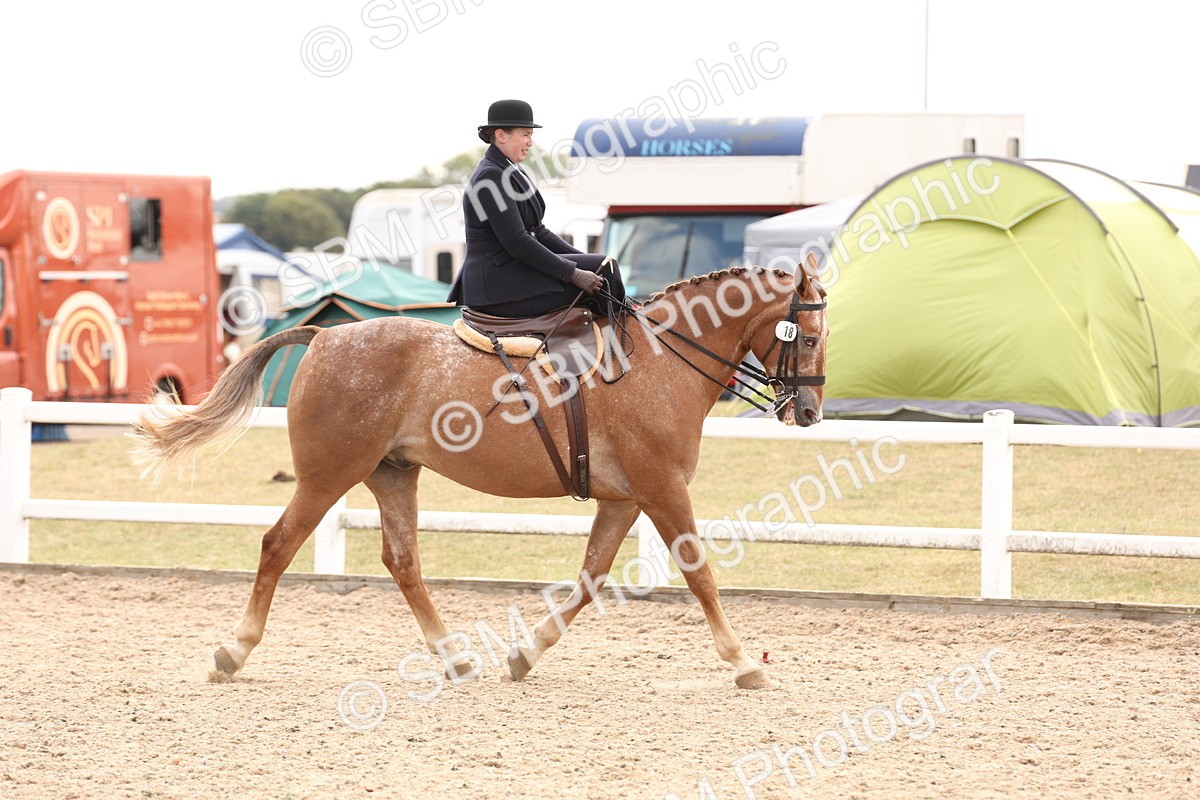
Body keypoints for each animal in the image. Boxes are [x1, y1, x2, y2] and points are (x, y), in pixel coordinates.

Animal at [131, 262, 829, 690]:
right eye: (809, 336)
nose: (810, 412)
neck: (661, 361)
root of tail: (325, 338)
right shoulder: (662, 489)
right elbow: (699, 573)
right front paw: (745, 663)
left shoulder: (626, 499)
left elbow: (589, 579)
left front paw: (524, 654)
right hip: (328, 477)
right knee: (278, 545)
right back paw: (233, 651)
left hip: (391, 475)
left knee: (403, 562)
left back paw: (454, 657)